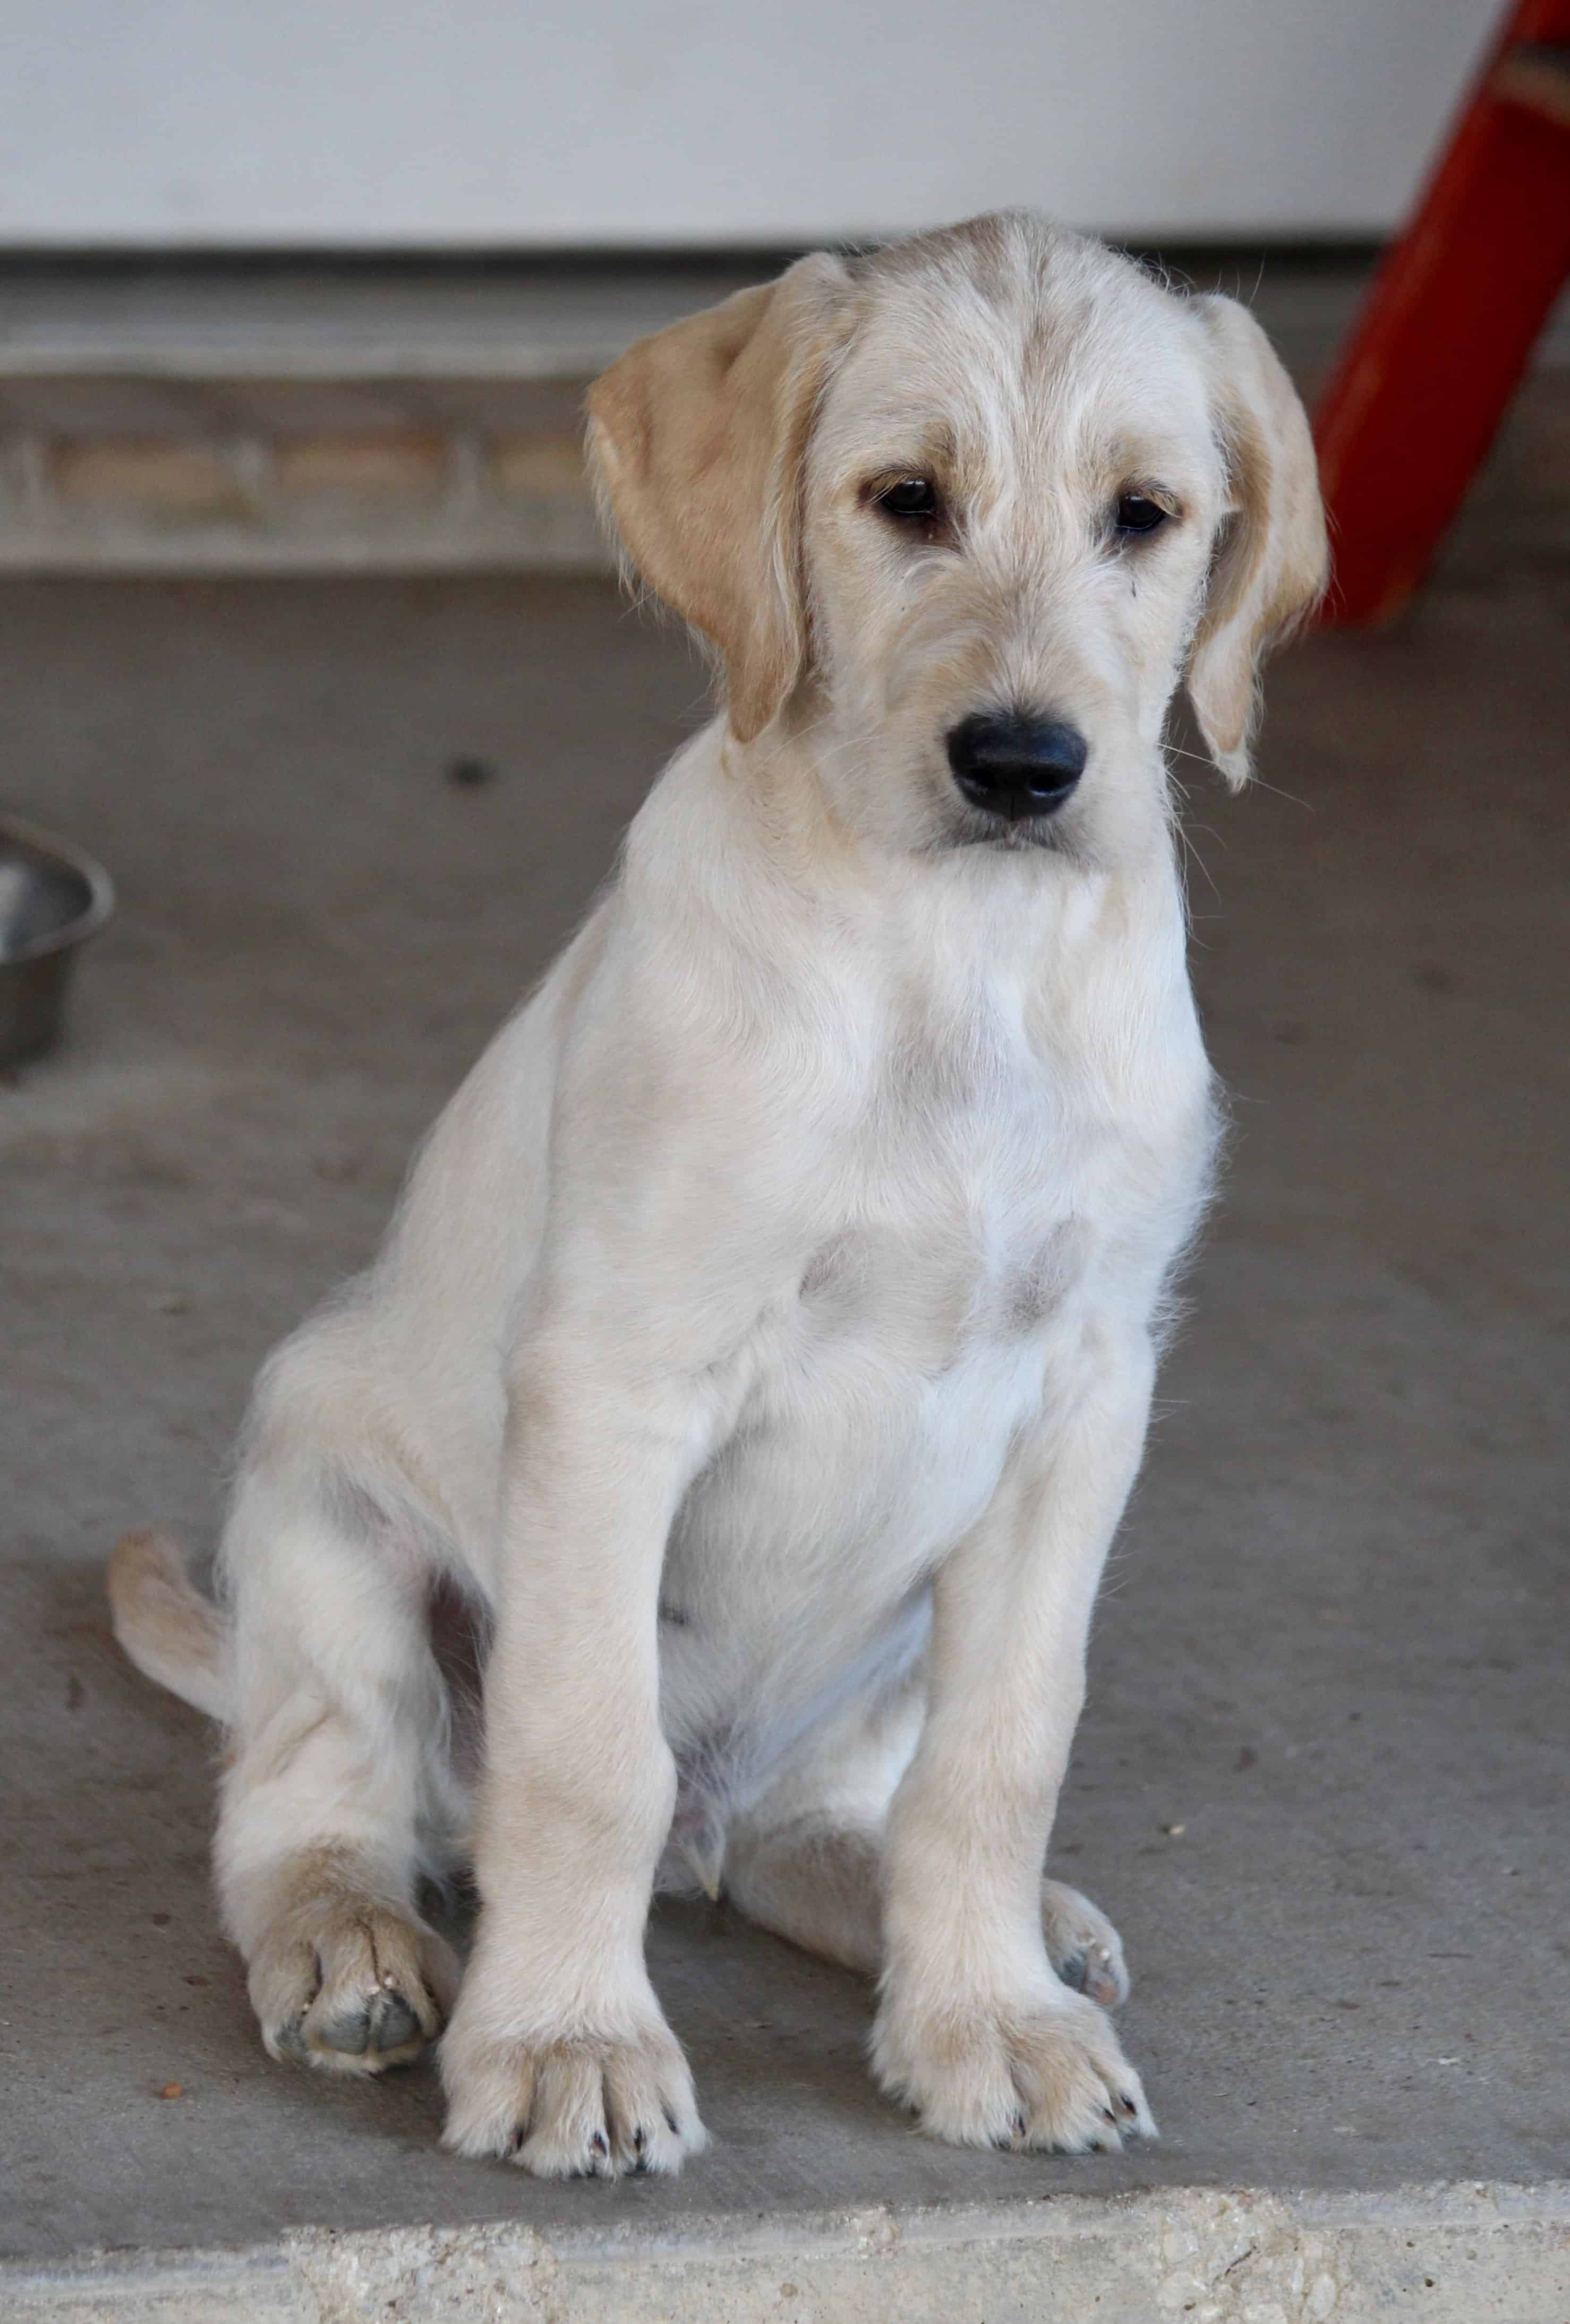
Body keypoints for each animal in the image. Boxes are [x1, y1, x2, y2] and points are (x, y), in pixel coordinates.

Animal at [109, 210, 1326, 2178]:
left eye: (1143, 516)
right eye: (905, 499)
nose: (1023, 764)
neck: (954, 954)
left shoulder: (1084, 1393)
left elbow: (1001, 1753)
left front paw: (986, 2015)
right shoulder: (619, 1377)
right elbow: (580, 1752)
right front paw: (566, 2040)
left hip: (880, 1645)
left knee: (803, 1833)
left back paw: (995, 1934)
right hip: (325, 1516)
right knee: (318, 1797)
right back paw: (348, 1943)